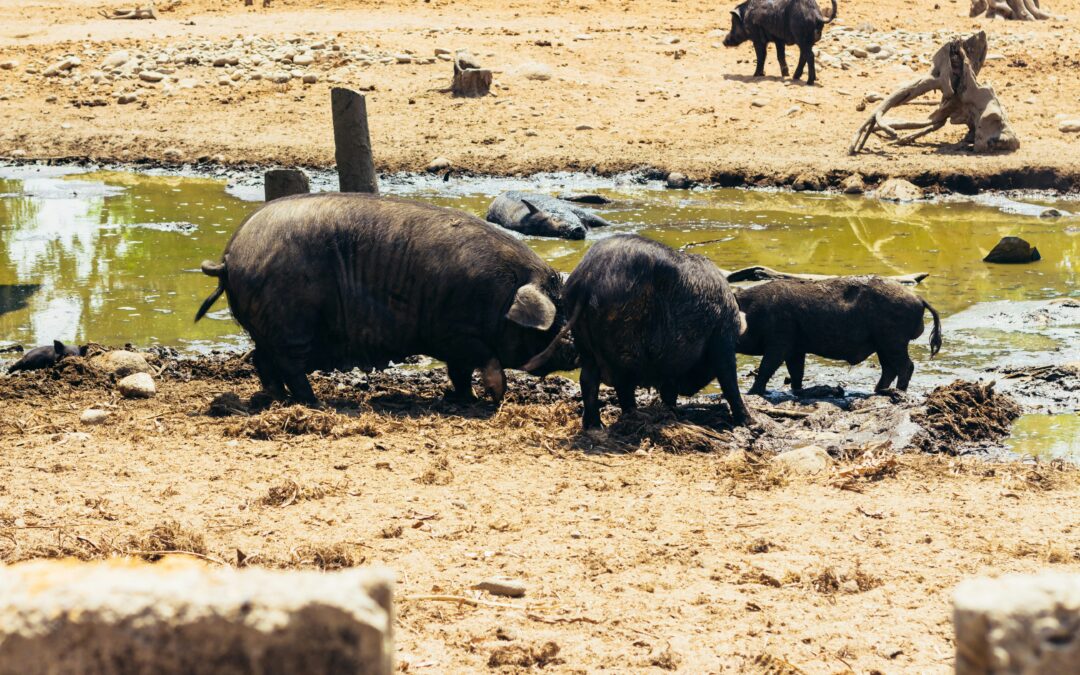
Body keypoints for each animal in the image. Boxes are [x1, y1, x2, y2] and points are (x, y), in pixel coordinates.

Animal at [524, 234, 751, 429]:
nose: (687, 390)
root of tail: (587, 279)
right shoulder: (722, 339)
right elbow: (728, 378)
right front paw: (748, 422)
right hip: (624, 340)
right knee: (622, 384)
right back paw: (635, 415)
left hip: (583, 338)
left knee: (588, 380)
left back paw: (596, 426)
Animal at [738, 275, 941, 395]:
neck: (755, 312)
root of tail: (919, 299)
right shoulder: (796, 349)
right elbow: (796, 372)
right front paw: (797, 391)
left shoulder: (780, 342)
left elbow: (766, 367)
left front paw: (751, 393)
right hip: (883, 344)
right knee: (889, 369)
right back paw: (877, 391)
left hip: (893, 340)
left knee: (906, 366)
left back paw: (898, 392)